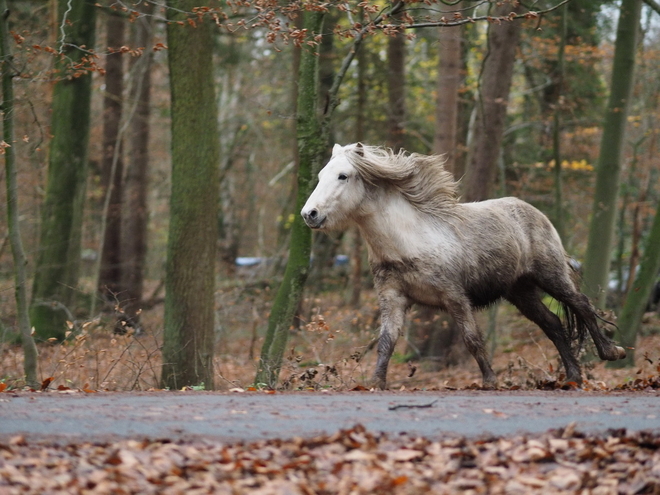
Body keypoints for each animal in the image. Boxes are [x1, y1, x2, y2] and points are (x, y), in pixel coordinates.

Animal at [302, 144, 628, 392]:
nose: (309, 214)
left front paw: (490, 381)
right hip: (520, 292)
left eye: (343, 176)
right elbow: (387, 341)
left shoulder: (455, 297)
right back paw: (572, 378)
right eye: (320, 175)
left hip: (551, 276)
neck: (409, 240)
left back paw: (611, 352)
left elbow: (472, 339)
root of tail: (537, 214)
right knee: (554, 325)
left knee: (582, 305)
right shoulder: (392, 298)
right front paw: (376, 383)